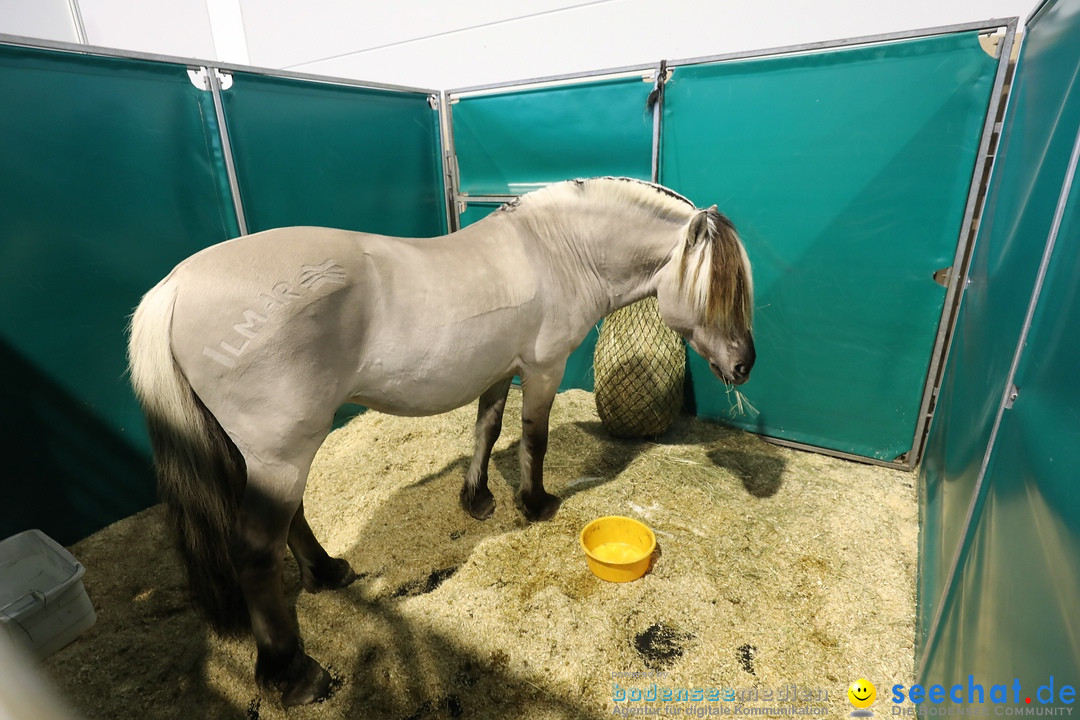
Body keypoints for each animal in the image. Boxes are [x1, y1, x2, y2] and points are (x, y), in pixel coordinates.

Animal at [126, 177, 756, 708]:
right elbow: (533, 438)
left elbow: (487, 429)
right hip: (281, 454)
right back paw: (294, 673)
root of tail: (175, 287)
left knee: (292, 519)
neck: (554, 251)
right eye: (718, 291)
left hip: (276, 455)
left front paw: (477, 500)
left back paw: (328, 574)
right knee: (256, 550)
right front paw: (535, 504)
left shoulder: (500, 370)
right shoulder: (542, 369)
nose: (745, 364)